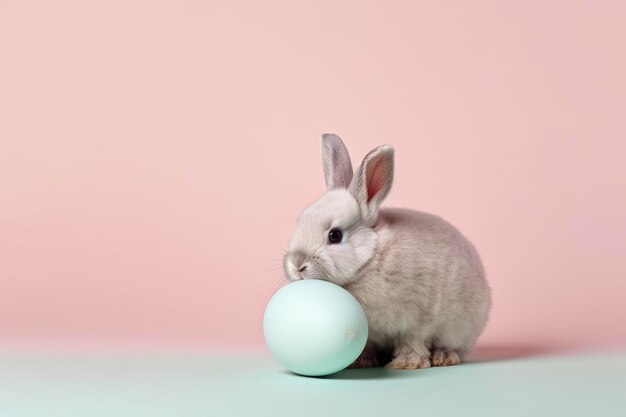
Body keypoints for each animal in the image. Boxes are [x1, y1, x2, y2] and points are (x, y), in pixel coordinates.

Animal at [282, 133, 492, 368]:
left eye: (334, 235)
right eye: (299, 222)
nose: (297, 265)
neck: (369, 262)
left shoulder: (418, 321)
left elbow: (413, 342)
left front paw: (406, 363)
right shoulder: (371, 335)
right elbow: (367, 347)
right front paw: (360, 362)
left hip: (460, 328)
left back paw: (444, 357)